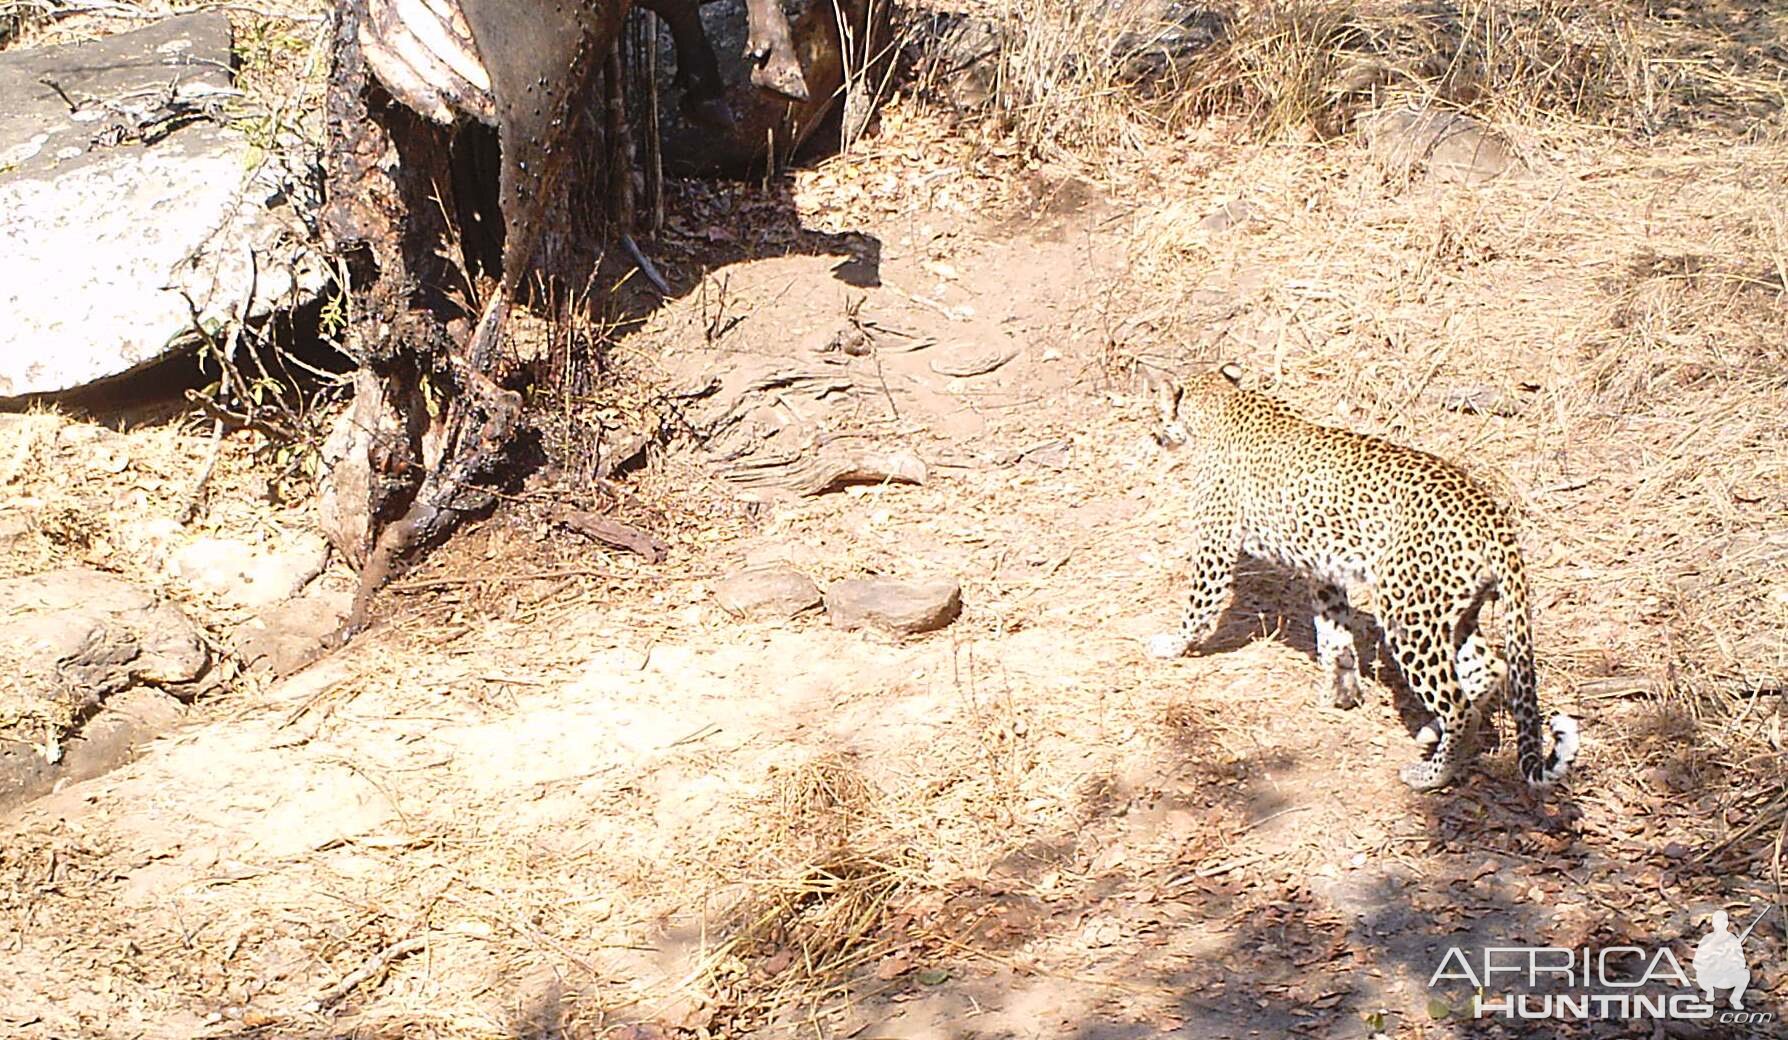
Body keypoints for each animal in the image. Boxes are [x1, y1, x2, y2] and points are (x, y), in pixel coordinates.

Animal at [1144, 364, 1580, 789]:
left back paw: (1430, 774)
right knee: (1490, 668)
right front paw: (1341, 692)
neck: (1220, 404)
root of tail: (1491, 514)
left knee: (1460, 706)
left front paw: (1172, 645)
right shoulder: (1324, 572)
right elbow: (1334, 635)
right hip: (1455, 611)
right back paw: (1431, 728)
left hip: (1407, 614)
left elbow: (1198, 606)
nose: (1152, 433)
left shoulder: (1215, 545)